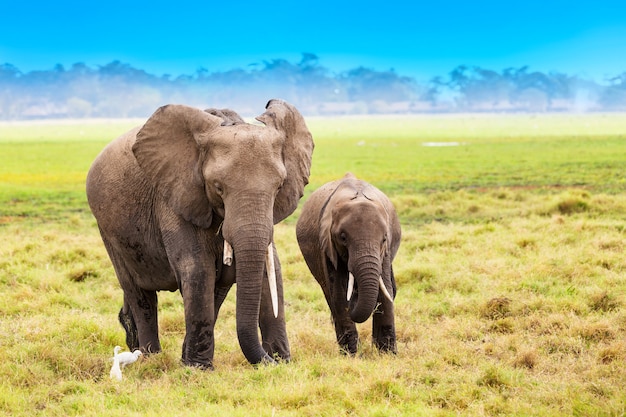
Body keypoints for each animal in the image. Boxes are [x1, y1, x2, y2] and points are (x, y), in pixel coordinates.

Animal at [86, 98, 312, 368]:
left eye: (279, 187)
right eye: (218, 187)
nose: (271, 360)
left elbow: (271, 269)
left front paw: (283, 363)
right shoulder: (175, 197)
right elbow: (197, 269)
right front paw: (198, 369)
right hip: (107, 227)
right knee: (139, 292)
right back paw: (149, 357)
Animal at [294, 173, 400, 354]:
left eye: (384, 239)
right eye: (343, 238)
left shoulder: (385, 253)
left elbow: (385, 290)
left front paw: (387, 354)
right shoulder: (327, 246)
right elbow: (339, 293)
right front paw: (352, 355)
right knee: (330, 296)